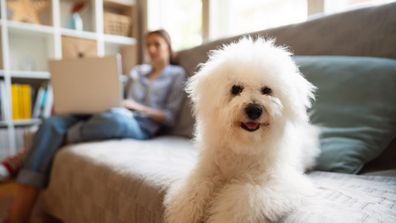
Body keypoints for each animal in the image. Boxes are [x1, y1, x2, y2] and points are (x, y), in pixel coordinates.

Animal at [162, 37, 320, 222]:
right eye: (236, 89)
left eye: (267, 90)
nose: (254, 110)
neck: (244, 144)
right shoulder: (206, 170)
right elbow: (192, 192)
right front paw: (184, 214)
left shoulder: (277, 184)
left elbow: (243, 200)